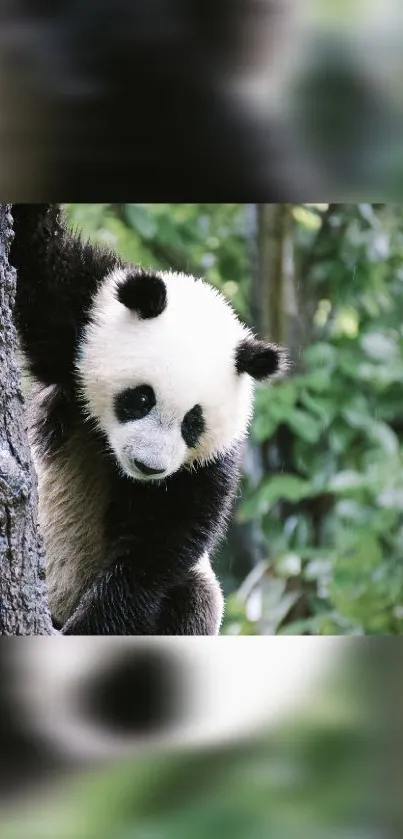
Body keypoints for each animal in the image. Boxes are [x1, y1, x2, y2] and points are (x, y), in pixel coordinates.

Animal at [8, 205, 288, 636]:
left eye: (194, 423)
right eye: (140, 398)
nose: (149, 466)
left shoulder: (204, 466)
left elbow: (156, 547)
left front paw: (89, 628)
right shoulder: (80, 316)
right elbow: (36, 255)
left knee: (193, 599)